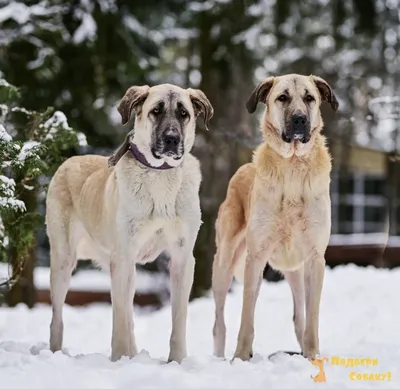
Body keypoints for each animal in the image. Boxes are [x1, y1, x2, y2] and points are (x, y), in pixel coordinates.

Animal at [46, 83, 214, 362]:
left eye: (184, 113)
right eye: (156, 111)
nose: (172, 139)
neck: (160, 175)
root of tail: (69, 161)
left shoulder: (182, 257)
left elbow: (178, 317)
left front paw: (177, 360)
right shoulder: (123, 256)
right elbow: (121, 318)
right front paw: (120, 359)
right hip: (63, 260)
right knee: (58, 317)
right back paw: (57, 353)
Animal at [211, 73, 340, 360]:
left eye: (309, 98)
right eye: (282, 98)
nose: (300, 119)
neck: (292, 165)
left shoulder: (315, 259)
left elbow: (311, 319)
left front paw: (312, 357)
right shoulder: (256, 257)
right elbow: (246, 317)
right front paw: (240, 358)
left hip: (296, 271)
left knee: (299, 317)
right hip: (224, 264)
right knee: (219, 322)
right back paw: (220, 357)